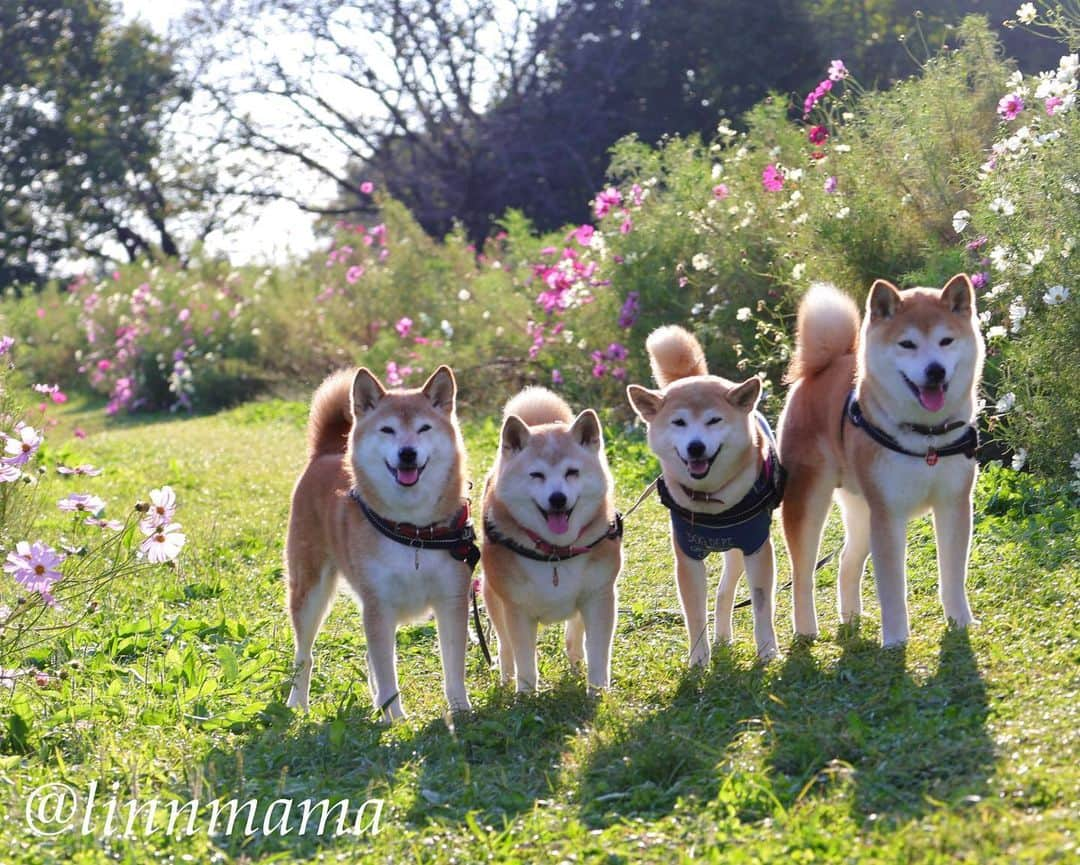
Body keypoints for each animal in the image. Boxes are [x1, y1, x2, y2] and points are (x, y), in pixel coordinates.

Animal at [287, 367, 477, 721]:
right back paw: (298, 704)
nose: (407, 453)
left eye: (423, 428)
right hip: (309, 593)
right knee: (304, 656)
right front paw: (396, 719)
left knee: (368, 657)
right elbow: (388, 673)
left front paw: (460, 711)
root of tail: (326, 453)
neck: (413, 532)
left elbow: (452, 668)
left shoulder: (451, 600)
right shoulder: (379, 605)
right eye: (387, 429)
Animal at [483, 388, 626, 691]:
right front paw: (525, 695)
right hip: (493, 596)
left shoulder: (600, 598)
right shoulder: (517, 609)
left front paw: (598, 692)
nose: (557, 498)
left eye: (572, 472)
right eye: (536, 475)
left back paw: (576, 664)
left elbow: (599, 652)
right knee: (505, 646)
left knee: (575, 635)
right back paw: (506, 678)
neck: (555, 552)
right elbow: (524, 660)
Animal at [626, 328, 786, 665]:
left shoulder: (756, 547)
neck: (711, 501)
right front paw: (698, 659)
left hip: (737, 552)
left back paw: (724, 636)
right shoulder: (687, 556)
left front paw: (768, 651)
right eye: (679, 423)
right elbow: (695, 614)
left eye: (714, 421)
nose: (696, 447)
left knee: (725, 594)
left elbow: (762, 606)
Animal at [777, 273, 989, 643]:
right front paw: (895, 639)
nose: (935, 370)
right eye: (907, 344)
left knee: (847, 560)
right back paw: (805, 630)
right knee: (802, 574)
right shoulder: (888, 516)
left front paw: (961, 621)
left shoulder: (953, 503)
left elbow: (953, 575)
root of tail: (823, 369)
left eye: (946, 341)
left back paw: (850, 617)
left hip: (863, 509)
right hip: (809, 501)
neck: (926, 438)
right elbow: (891, 586)